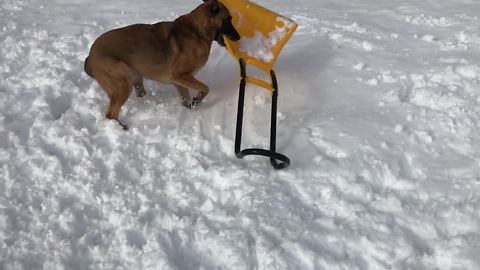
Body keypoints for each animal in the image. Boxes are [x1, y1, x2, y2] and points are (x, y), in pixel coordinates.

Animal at [84, 0, 240, 130]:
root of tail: (90, 57)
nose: (238, 37)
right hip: (122, 82)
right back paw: (121, 127)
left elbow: (186, 99)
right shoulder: (179, 75)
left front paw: (190, 108)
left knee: (138, 94)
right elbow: (206, 88)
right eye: (228, 19)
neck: (197, 30)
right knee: (111, 114)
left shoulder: (179, 82)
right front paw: (197, 100)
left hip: (135, 78)